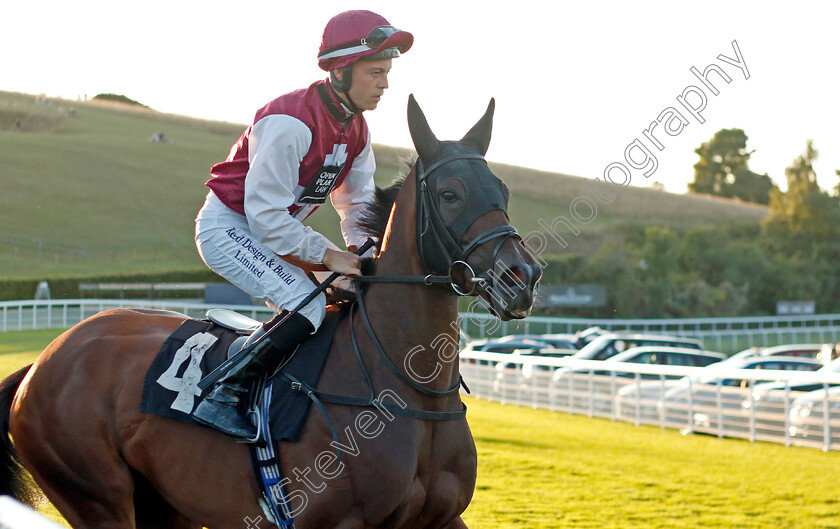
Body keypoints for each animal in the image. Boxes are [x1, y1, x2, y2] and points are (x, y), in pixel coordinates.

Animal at [0, 96, 540, 528]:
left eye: (503, 192)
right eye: (450, 194)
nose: (522, 276)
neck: (409, 392)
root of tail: (40, 362)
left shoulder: (443, 519)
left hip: (164, 505)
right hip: (97, 497)